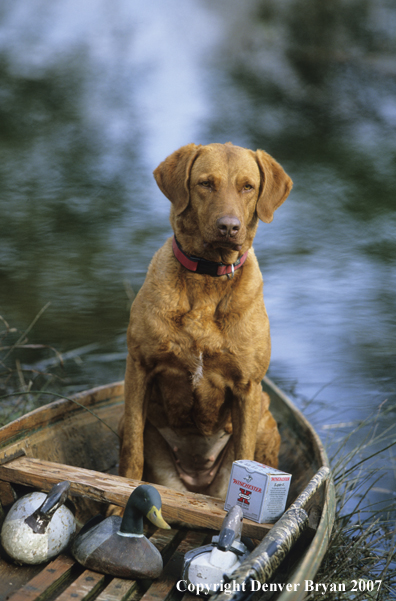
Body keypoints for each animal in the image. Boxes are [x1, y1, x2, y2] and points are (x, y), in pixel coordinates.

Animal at [119, 141, 292, 496]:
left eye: (248, 187)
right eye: (205, 183)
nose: (229, 227)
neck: (208, 277)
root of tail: (196, 478)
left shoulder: (247, 388)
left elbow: (244, 452)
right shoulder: (138, 367)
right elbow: (132, 454)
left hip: (265, 418)